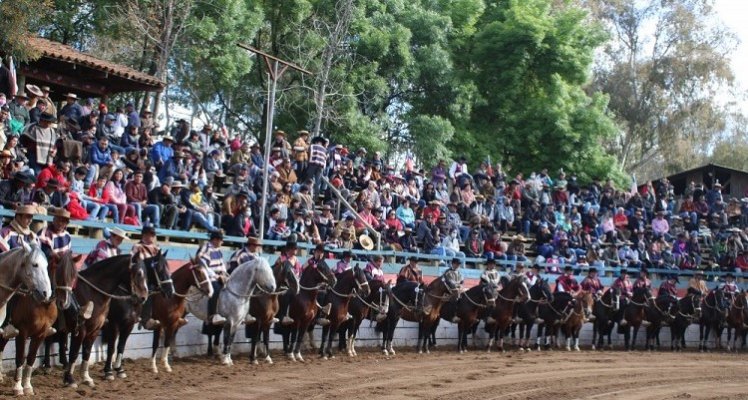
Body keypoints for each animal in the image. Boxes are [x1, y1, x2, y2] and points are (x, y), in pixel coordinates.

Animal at [0, 252, 79, 396]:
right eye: (58, 272)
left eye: (74, 275)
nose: (65, 303)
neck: (42, 304)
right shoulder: (22, 333)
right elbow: (20, 357)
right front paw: (17, 388)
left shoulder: (40, 334)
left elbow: (31, 358)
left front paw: (27, 387)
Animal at [62, 255, 149, 390]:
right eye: (139, 273)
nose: (144, 297)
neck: (92, 292)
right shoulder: (93, 328)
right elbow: (76, 352)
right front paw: (70, 380)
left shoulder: (116, 327)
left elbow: (92, 351)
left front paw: (87, 378)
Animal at [101, 252, 173, 380]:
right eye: (160, 268)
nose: (170, 291)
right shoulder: (114, 324)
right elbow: (111, 347)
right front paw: (108, 372)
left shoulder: (128, 325)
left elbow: (121, 346)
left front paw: (119, 369)